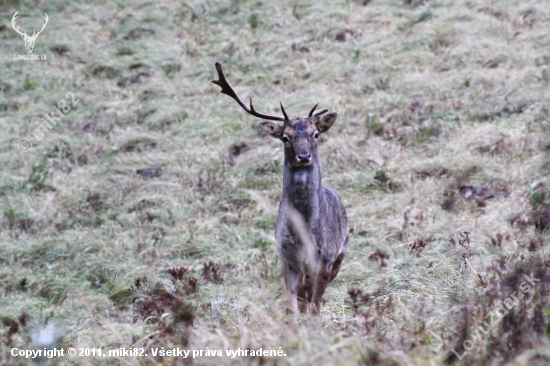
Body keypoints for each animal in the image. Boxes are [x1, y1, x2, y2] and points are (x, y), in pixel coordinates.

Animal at [212, 62, 350, 314]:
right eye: (285, 137)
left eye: (316, 134)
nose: (303, 156)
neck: (305, 235)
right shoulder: (287, 258)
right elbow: (291, 307)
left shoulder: (325, 259)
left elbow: (315, 307)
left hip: (341, 253)